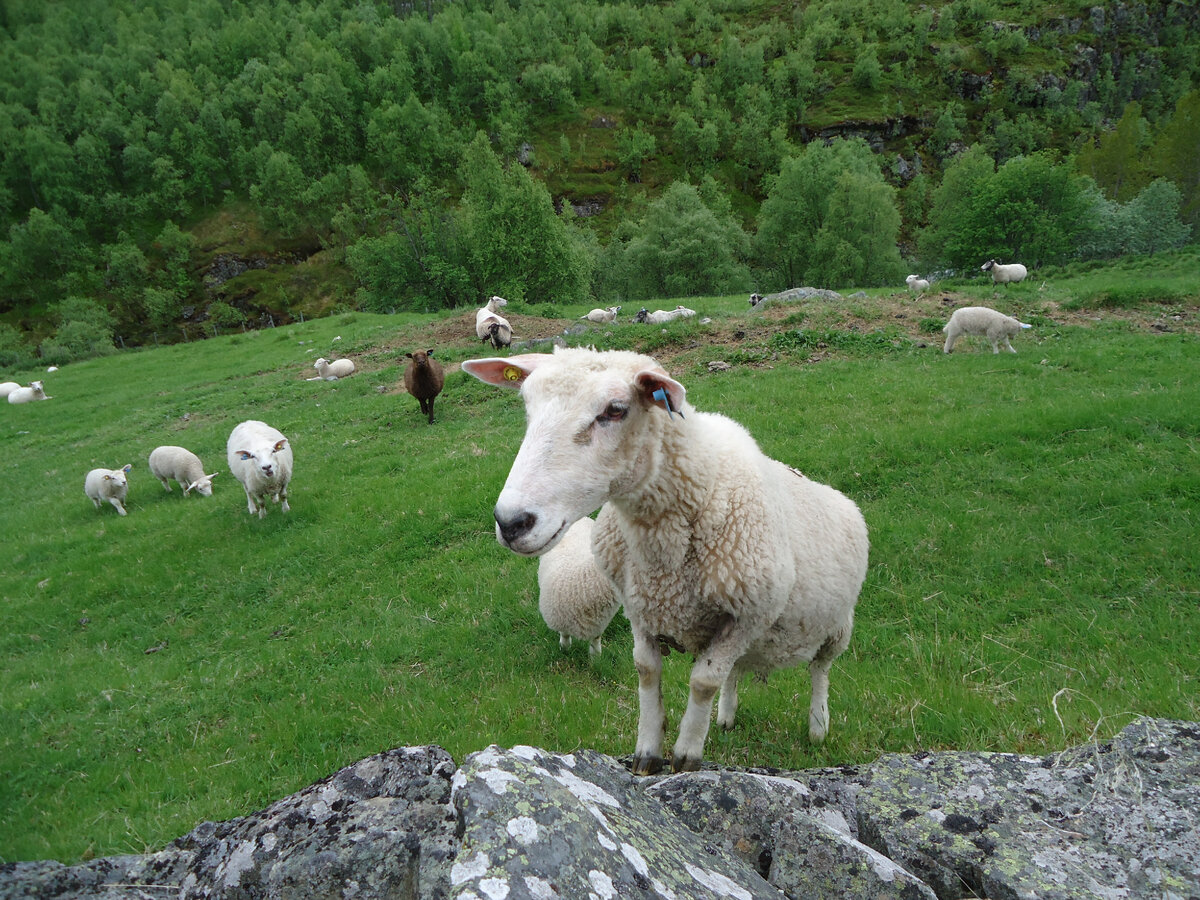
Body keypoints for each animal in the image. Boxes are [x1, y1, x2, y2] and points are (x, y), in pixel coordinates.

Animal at [540, 513, 624, 662]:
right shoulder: (560, 617)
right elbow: (565, 634)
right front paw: (565, 648)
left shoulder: (598, 622)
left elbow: (595, 640)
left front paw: (596, 658)